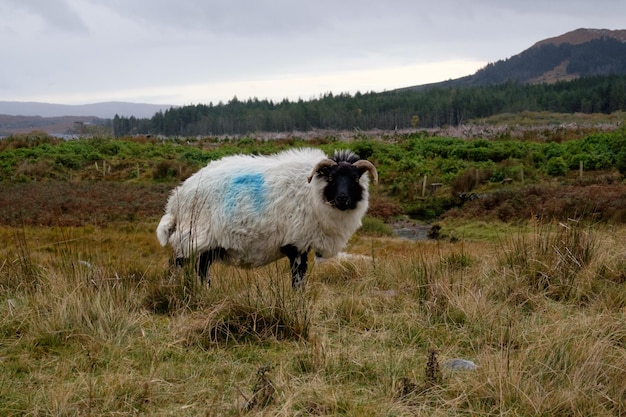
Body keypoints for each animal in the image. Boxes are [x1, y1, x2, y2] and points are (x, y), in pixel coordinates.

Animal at [158, 148, 378, 288]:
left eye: (355, 179)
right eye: (331, 177)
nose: (342, 199)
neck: (313, 191)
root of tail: (177, 197)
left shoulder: (304, 244)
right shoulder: (296, 243)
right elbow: (297, 277)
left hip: (210, 244)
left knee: (202, 269)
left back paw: (207, 291)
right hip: (193, 234)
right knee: (177, 262)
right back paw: (173, 287)